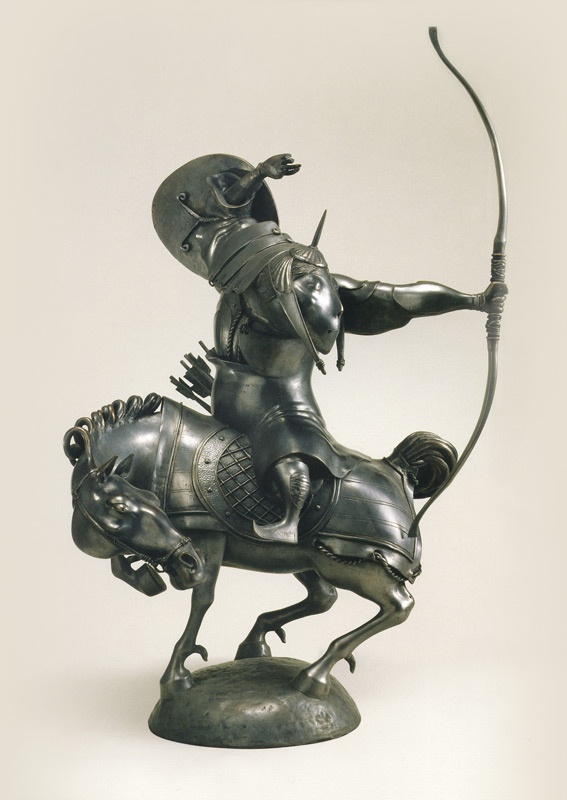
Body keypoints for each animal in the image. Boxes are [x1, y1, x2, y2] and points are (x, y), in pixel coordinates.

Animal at [64, 392, 457, 700]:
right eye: (123, 505)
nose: (187, 563)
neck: (161, 453)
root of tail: (397, 467)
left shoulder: (208, 540)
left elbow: (201, 600)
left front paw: (175, 673)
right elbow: (121, 564)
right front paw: (146, 578)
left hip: (354, 566)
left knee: (399, 606)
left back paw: (314, 675)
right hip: (306, 560)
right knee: (325, 597)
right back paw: (257, 640)